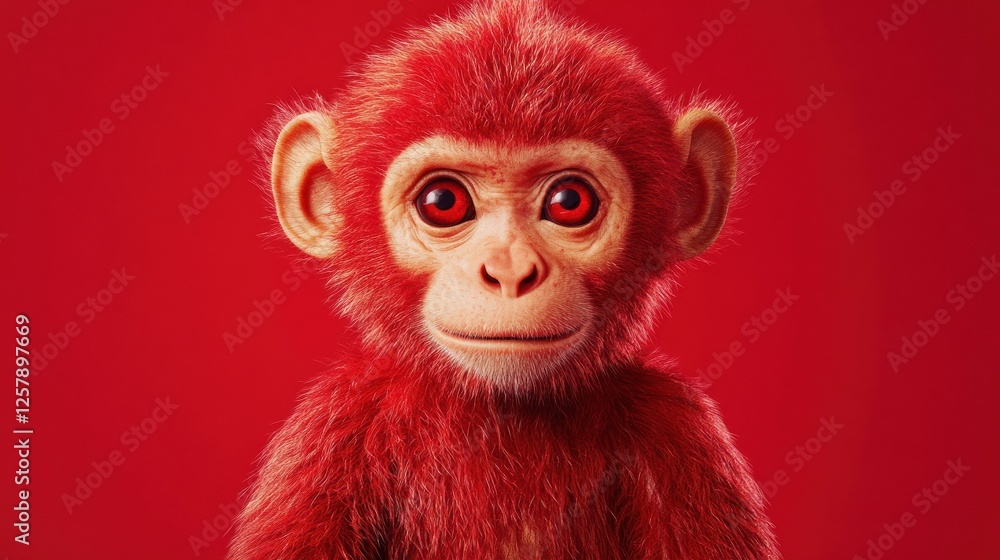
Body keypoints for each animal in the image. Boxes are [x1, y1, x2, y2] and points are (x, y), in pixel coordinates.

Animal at [227, 0, 779, 558]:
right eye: (443, 201)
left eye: (569, 201)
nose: (510, 272)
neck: (501, 413)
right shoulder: (334, 430)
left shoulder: (682, 432)